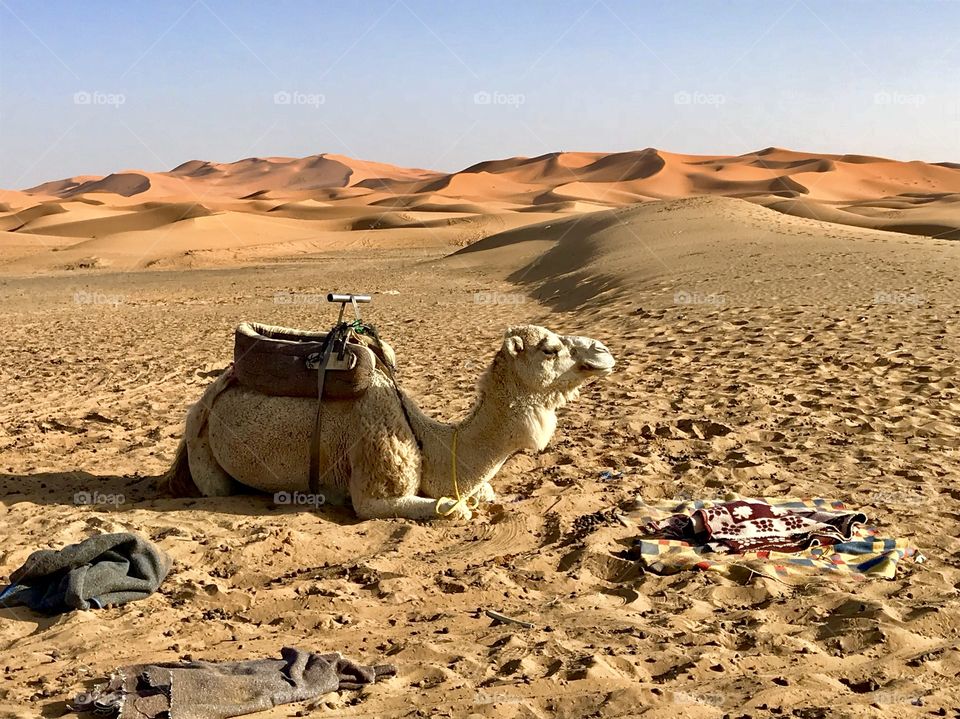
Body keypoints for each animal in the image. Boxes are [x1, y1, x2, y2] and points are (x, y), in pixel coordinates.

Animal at [165, 324, 615, 520]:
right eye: (549, 349)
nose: (603, 351)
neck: (433, 443)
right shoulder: (374, 486)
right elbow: (455, 509)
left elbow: (483, 495)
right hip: (203, 448)